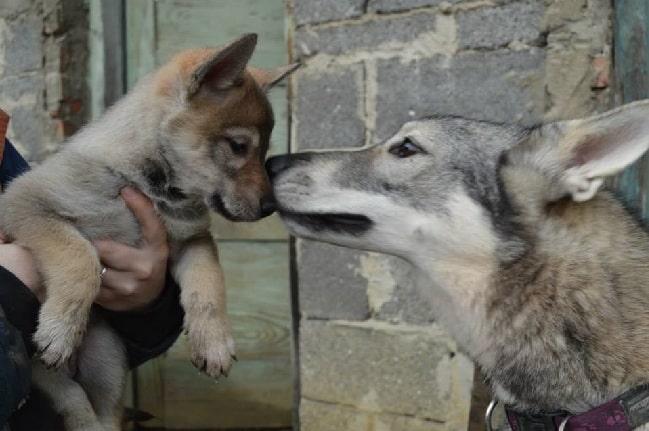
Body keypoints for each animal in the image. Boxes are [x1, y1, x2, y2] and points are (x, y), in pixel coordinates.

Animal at [0, 32, 296, 430]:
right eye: (238, 146)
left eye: (263, 150)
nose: (270, 208)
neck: (150, 186)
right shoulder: (25, 206)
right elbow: (80, 257)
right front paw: (61, 324)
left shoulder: (192, 240)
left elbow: (209, 285)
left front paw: (214, 341)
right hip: (45, 372)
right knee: (75, 401)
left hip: (107, 358)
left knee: (105, 413)